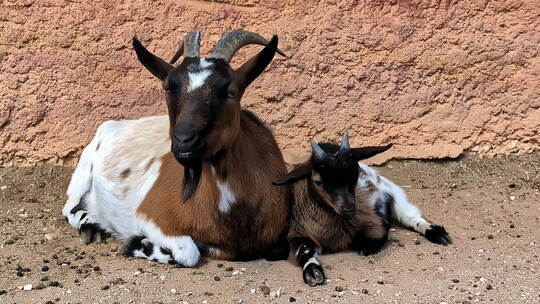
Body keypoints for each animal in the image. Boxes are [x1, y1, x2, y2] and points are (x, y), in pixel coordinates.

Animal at [274, 132, 452, 286]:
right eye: (318, 181)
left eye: (355, 174)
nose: (349, 209)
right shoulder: (298, 231)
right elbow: (304, 251)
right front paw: (313, 272)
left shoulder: (375, 222)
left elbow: (375, 237)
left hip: (393, 191)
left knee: (411, 215)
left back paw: (438, 233)